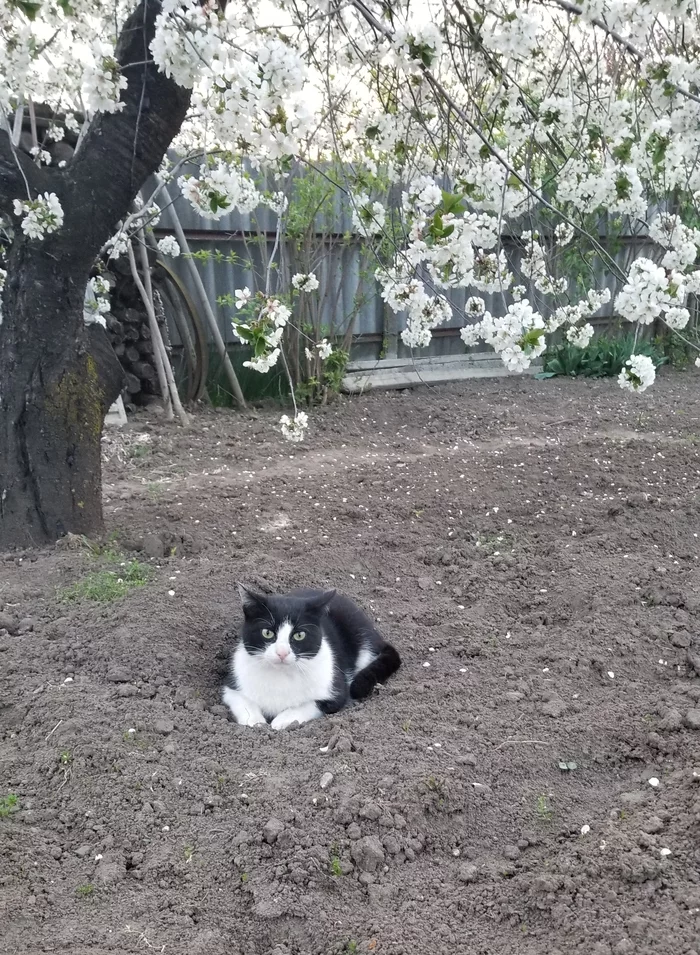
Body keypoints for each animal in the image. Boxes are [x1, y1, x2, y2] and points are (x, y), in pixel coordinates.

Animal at [221, 584, 402, 732]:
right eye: (267, 633)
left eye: (299, 635)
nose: (282, 652)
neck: (281, 675)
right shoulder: (232, 686)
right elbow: (242, 701)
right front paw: (256, 722)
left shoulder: (336, 691)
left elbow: (311, 703)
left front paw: (283, 720)